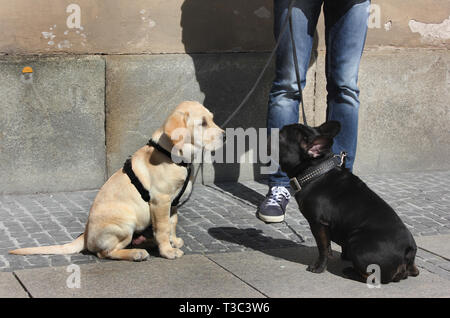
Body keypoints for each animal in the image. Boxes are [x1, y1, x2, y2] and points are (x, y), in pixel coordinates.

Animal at [9, 102, 223, 260]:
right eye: (203, 123)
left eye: (212, 119)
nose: (225, 136)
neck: (174, 155)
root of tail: (85, 234)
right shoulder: (160, 201)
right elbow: (163, 228)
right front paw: (168, 251)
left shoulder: (173, 204)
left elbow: (171, 224)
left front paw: (173, 241)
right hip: (125, 223)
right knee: (104, 253)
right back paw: (136, 253)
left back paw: (147, 244)